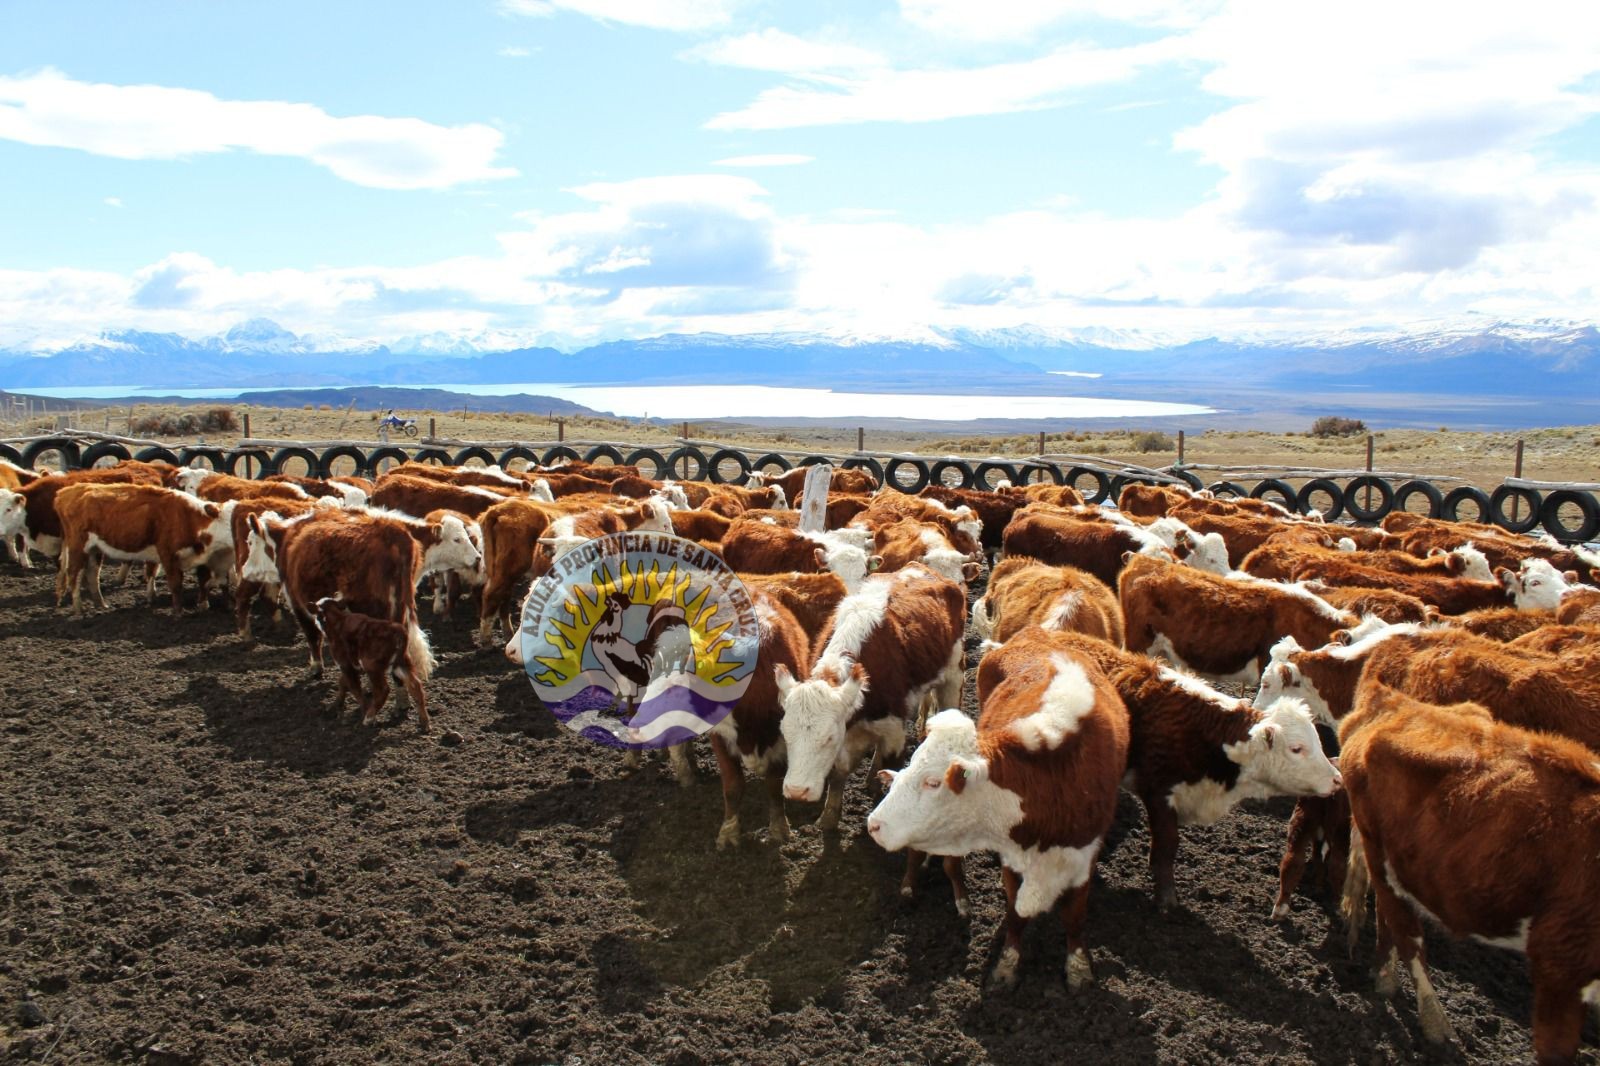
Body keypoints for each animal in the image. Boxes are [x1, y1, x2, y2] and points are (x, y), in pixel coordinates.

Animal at [870, 646, 1132, 985]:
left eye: (933, 782)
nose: (874, 824)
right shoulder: (1013, 854)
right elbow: (1015, 912)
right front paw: (1007, 964)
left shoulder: (1082, 856)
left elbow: (1074, 917)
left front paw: (1078, 968)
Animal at [1344, 681, 1600, 1062]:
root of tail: (1392, 700)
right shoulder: (1560, 959)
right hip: (1377, 847)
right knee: (1405, 932)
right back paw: (1434, 1023)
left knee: (1388, 916)